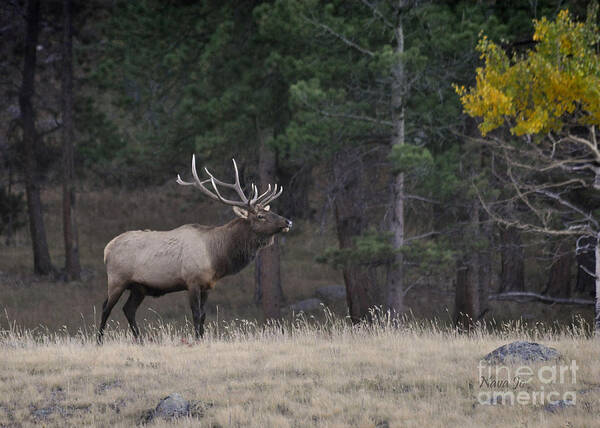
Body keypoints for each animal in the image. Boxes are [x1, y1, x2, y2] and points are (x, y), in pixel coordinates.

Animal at [97, 155, 292, 342]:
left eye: (269, 211)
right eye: (260, 216)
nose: (288, 221)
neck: (216, 256)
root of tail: (107, 249)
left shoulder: (207, 285)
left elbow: (204, 315)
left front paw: (202, 338)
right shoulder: (192, 281)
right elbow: (196, 314)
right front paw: (197, 339)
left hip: (139, 287)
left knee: (128, 309)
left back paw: (140, 340)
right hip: (117, 279)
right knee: (106, 307)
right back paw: (99, 340)